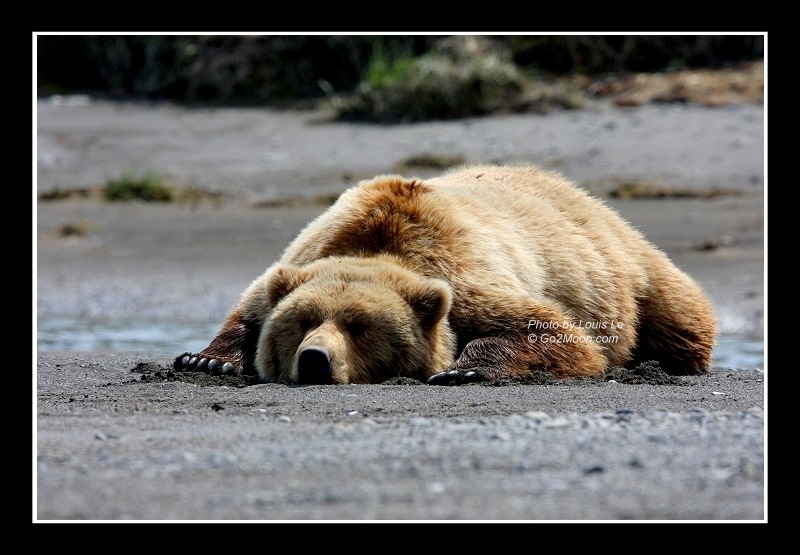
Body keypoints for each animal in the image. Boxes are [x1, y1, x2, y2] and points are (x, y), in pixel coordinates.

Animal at [174, 164, 717, 385]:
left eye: (360, 327)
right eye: (301, 322)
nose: (314, 360)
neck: (378, 244)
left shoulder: (466, 276)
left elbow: (555, 334)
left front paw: (465, 368)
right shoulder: (304, 253)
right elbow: (246, 312)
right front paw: (206, 360)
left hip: (630, 271)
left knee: (680, 317)